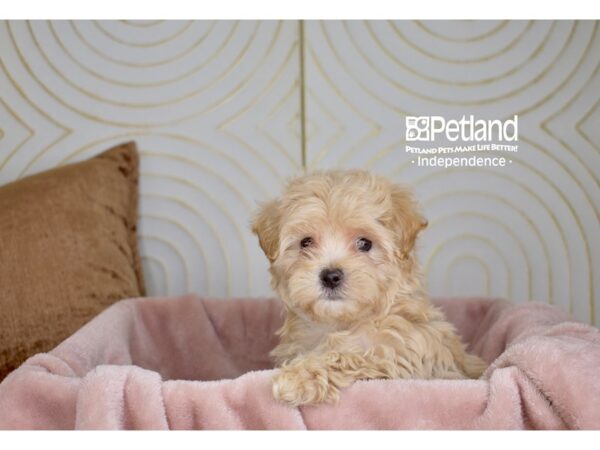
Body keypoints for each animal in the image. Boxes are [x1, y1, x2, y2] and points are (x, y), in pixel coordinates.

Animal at [252, 171, 488, 406]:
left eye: (365, 243)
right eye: (306, 242)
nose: (331, 276)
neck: (340, 323)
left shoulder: (404, 353)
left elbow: (357, 355)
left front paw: (298, 377)